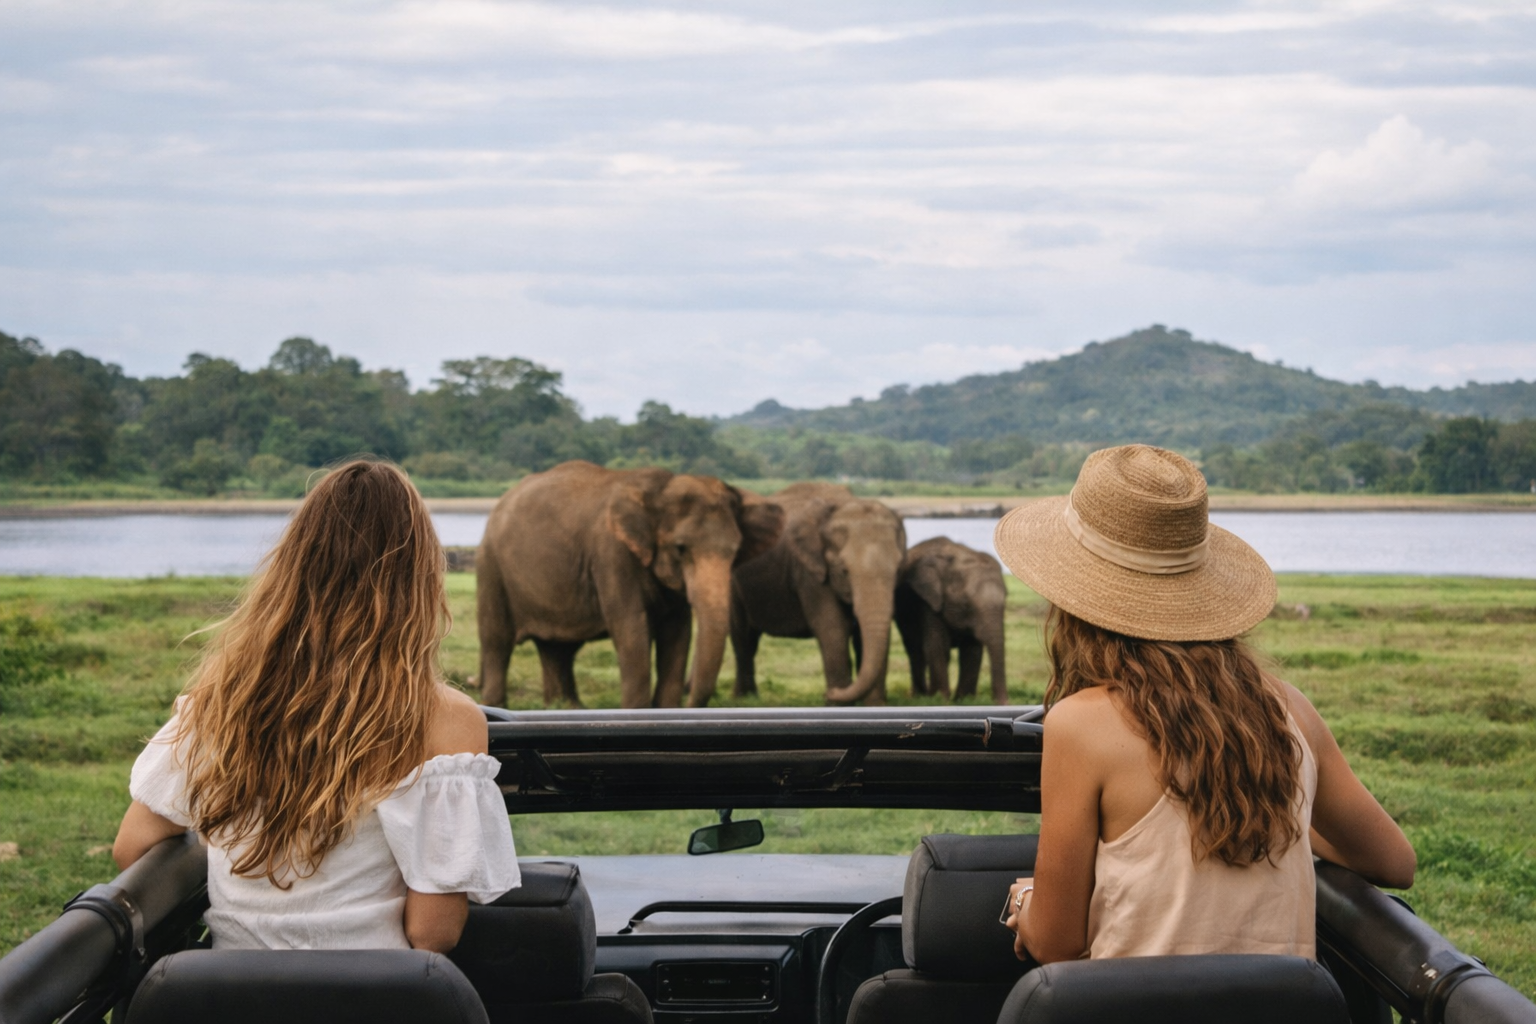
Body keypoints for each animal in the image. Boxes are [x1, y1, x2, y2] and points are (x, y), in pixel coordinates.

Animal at [476, 461, 785, 709]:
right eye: (680, 548)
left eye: (735, 551)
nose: (690, 704)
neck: (660, 489)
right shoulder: (612, 555)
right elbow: (631, 627)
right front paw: (637, 711)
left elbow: (677, 631)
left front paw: (665, 711)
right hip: (491, 565)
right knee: (497, 638)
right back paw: (497, 705)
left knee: (558, 648)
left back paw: (566, 708)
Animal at [730, 483, 907, 705]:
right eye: (844, 571)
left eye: (898, 569)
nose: (827, 693)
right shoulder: (810, 572)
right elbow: (833, 629)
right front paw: (837, 705)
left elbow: (869, 635)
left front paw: (873, 706)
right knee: (744, 637)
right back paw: (744, 700)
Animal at [894, 536, 1008, 703]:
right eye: (966, 603)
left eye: (1005, 600)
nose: (1002, 703)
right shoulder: (929, 602)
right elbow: (938, 645)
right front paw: (940, 700)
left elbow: (972, 650)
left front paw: (965, 701)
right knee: (915, 648)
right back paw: (919, 697)